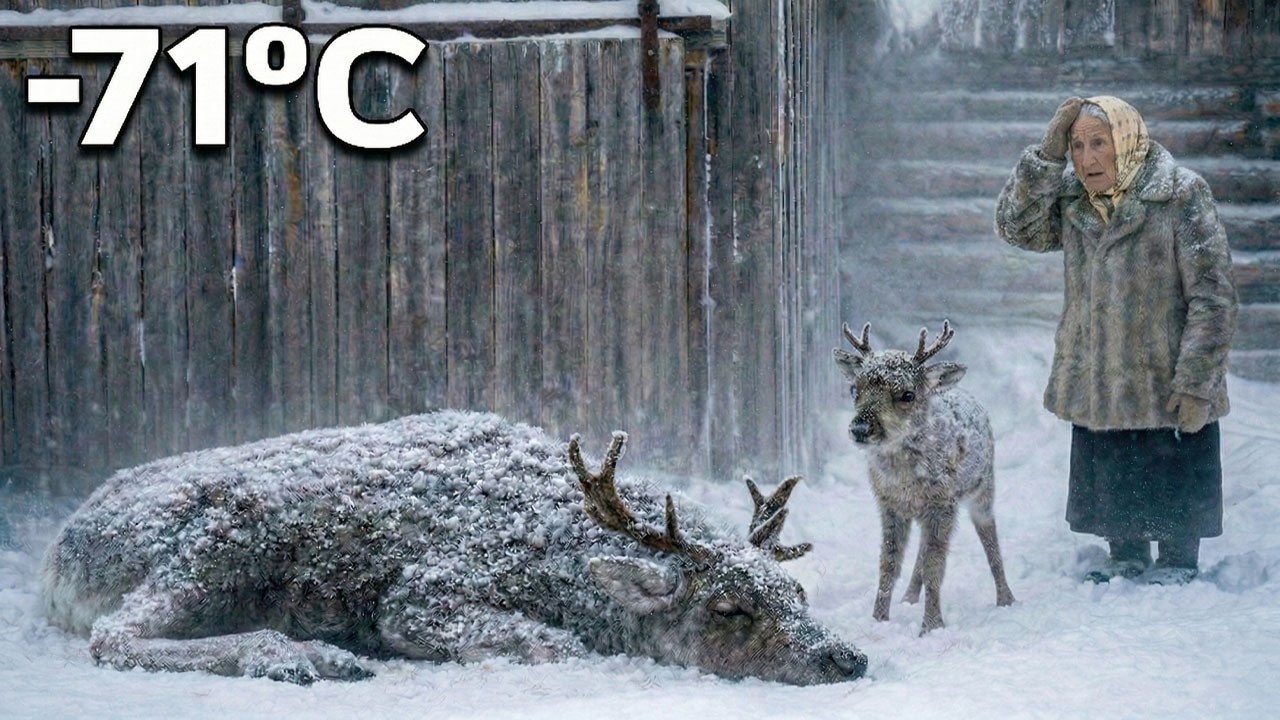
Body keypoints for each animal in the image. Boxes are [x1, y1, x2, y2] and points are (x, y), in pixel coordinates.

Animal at [41, 410, 867, 685]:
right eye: (729, 608)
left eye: (797, 592)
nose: (846, 658)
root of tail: (59, 560)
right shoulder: (426, 591)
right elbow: (560, 646)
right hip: (219, 542)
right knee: (115, 634)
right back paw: (304, 657)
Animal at [833, 321, 1015, 634]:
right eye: (855, 389)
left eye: (908, 394)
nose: (860, 428)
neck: (906, 481)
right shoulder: (889, 505)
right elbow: (889, 564)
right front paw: (878, 619)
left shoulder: (942, 504)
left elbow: (935, 566)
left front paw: (931, 627)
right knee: (921, 549)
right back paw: (908, 598)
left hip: (983, 487)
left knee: (990, 539)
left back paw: (1006, 599)